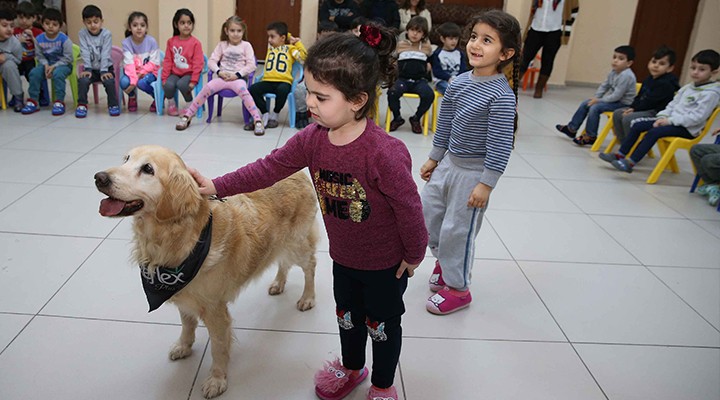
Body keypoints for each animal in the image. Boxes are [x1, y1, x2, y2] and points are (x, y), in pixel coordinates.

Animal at [93, 145, 318, 398]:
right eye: (126, 159)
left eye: (148, 169)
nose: (99, 178)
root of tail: (298, 173)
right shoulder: (185, 297)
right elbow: (187, 325)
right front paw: (183, 346)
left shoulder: (215, 309)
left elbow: (218, 348)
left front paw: (217, 380)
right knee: (283, 262)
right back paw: (278, 283)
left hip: (297, 243)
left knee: (310, 265)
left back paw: (308, 297)